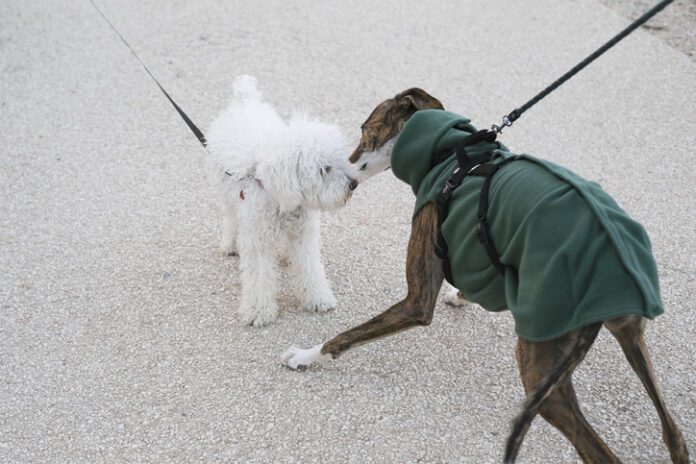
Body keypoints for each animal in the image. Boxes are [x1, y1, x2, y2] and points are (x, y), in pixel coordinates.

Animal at [204, 76, 356, 328]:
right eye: (324, 169)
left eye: (340, 160)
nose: (353, 184)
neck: (282, 198)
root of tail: (245, 99)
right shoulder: (257, 241)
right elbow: (258, 278)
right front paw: (258, 311)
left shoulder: (303, 235)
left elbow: (310, 269)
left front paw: (318, 298)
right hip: (228, 196)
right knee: (232, 219)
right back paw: (231, 244)